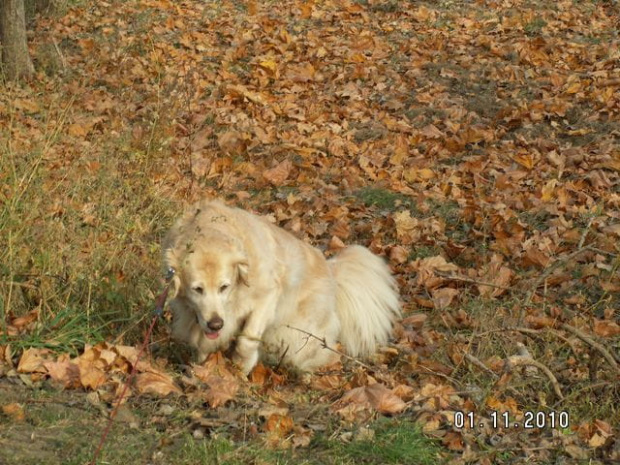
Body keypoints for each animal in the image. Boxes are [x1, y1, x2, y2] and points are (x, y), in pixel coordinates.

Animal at [162, 199, 400, 374]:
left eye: (224, 287)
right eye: (197, 289)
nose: (215, 324)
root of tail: (332, 271)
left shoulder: (267, 297)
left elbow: (247, 338)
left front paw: (241, 366)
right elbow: (203, 345)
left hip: (297, 336)